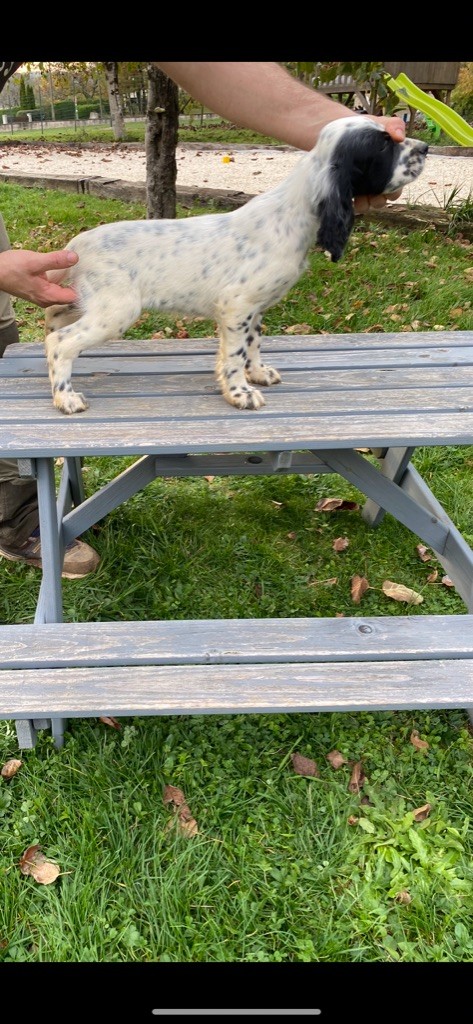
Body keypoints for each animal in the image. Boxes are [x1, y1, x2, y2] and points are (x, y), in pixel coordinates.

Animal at [45, 116, 428, 415]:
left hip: (84, 301)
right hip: (117, 310)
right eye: (383, 146)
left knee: (52, 326)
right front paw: (240, 392)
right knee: (62, 342)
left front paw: (257, 373)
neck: (292, 213)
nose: (424, 147)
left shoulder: (253, 308)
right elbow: (234, 354)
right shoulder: (236, 306)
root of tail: (77, 245)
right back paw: (66, 397)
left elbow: (253, 344)